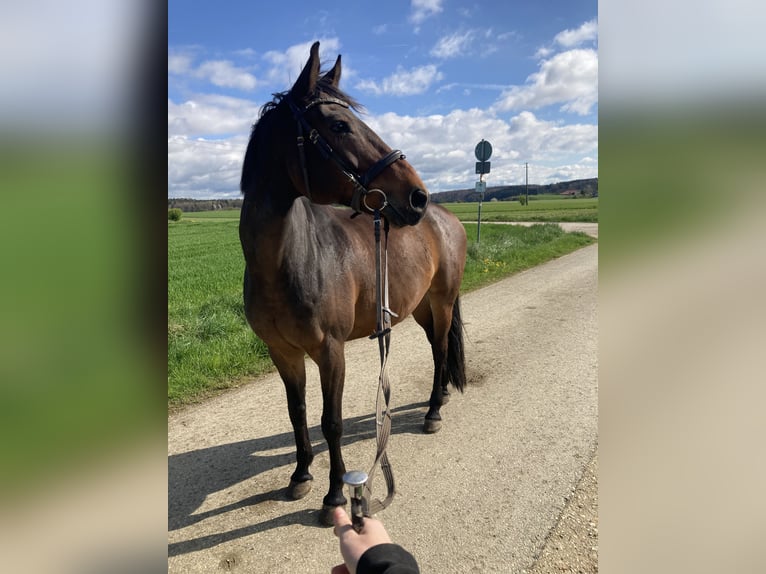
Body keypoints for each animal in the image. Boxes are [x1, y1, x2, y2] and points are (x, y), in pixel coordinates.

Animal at [240, 41, 468, 528]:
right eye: (340, 125)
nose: (416, 196)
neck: (288, 261)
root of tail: (446, 217)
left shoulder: (331, 350)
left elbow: (332, 422)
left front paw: (333, 496)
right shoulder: (282, 353)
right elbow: (298, 413)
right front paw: (300, 475)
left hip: (441, 303)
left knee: (441, 350)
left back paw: (433, 411)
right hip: (420, 308)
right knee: (436, 348)